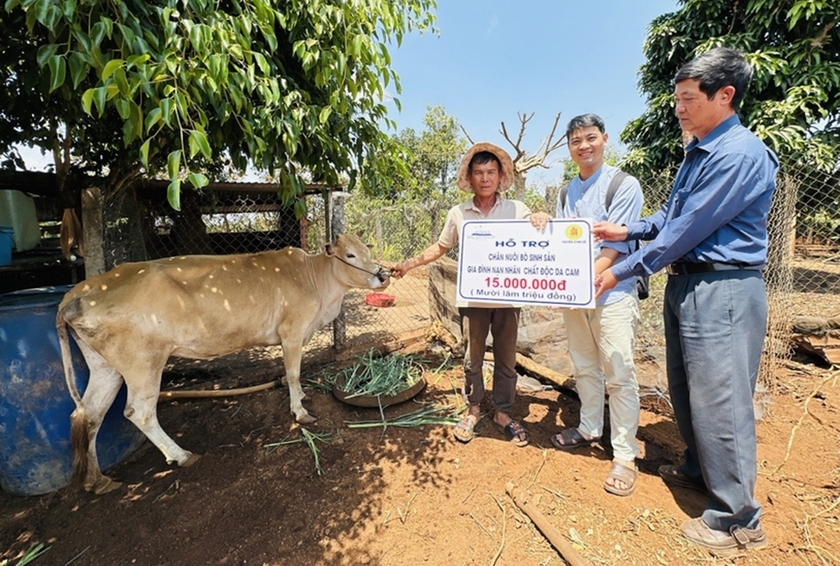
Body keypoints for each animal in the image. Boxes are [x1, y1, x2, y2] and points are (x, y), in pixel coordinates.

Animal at [55, 233, 390, 494]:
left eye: (367, 249)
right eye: (350, 254)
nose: (383, 274)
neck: (316, 280)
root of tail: (77, 294)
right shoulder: (291, 333)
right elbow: (293, 374)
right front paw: (300, 411)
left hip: (106, 367)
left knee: (88, 415)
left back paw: (97, 480)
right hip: (144, 363)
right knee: (138, 412)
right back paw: (181, 455)